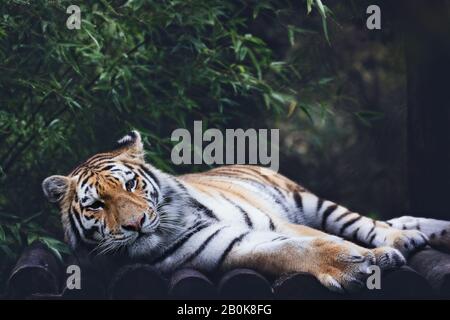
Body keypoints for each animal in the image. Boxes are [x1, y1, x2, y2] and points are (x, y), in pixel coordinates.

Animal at [42, 131, 450, 292]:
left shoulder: (279, 220)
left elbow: (320, 237)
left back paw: (406, 235)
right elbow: (293, 251)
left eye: (130, 185)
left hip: (312, 202)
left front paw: (377, 254)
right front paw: (358, 266)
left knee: (366, 222)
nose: (137, 223)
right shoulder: (232, 245)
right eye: (97, 205)